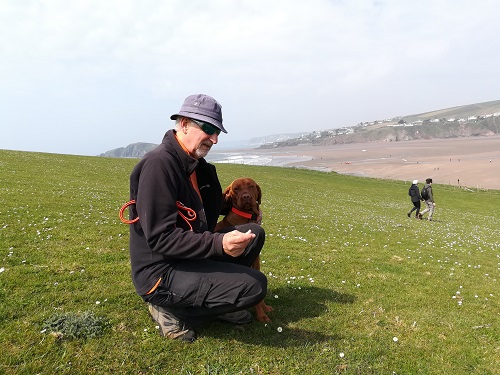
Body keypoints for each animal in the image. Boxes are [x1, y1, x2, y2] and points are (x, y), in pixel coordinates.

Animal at [213, 178, 272, 322]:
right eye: (236, 189)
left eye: (251, 186)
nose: (246, 197)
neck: (247, 215)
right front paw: (261, 315)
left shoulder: (256, 261)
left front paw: (264, 307)